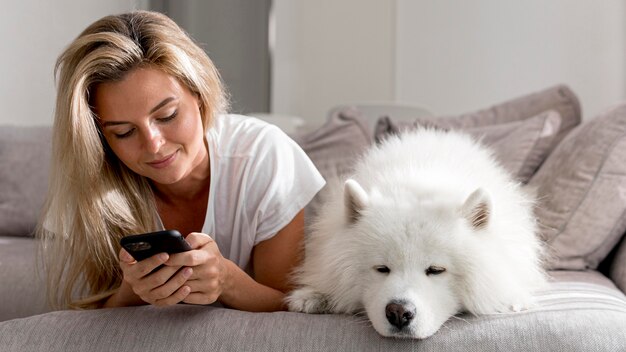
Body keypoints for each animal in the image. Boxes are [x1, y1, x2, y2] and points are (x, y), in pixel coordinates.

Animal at [286, 129, 544, 338]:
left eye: (436, 270)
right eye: (382, 268)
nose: (399, 312)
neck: (420, 180)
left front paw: (509, 299)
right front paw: (315, 296)